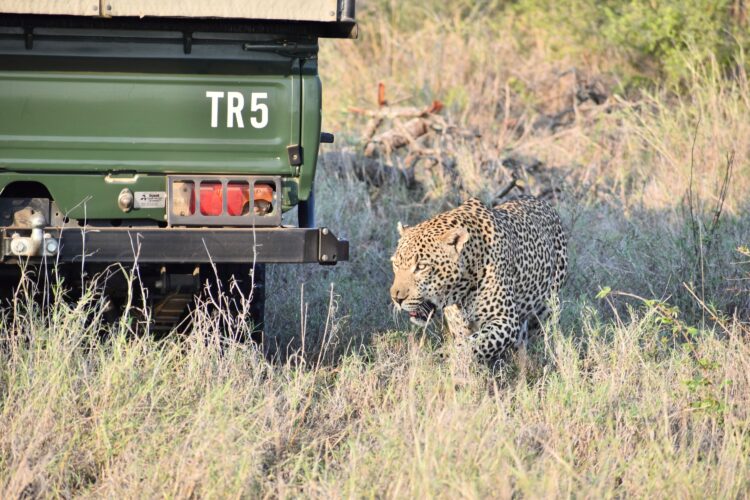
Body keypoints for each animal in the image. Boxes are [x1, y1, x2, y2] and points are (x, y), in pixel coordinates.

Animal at [390, 196, 567, 362]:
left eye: (421, 267)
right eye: (396, 264)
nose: (396, 298)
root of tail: (544, 203)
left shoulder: (506, 320)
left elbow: (471, 344)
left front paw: (440, 358)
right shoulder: (460, 327)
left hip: (549, 306)